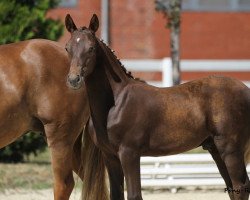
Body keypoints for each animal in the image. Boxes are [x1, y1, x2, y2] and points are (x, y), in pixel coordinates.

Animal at [65, 14, 250, 200]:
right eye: (67, 48)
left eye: (91, 48)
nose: (74, 79)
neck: (116, 103)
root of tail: (245, 89)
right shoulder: (110, 157)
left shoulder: (129, 154)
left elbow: (135, 195)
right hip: (216, 149)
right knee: (232, 187)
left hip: (230, 150)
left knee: (240, 186)